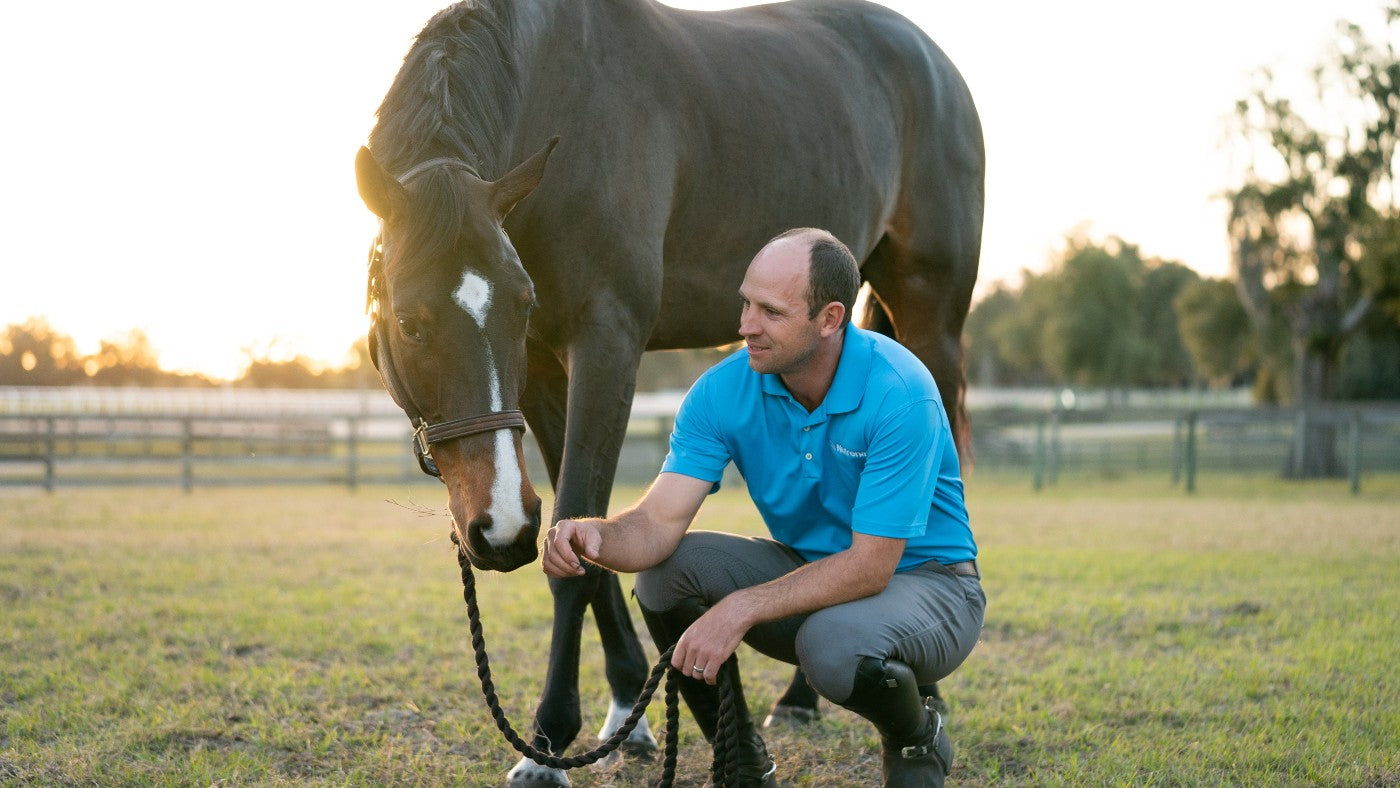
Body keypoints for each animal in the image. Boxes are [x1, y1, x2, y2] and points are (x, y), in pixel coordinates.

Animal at [355, 0, 983, 784]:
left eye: (518, 303)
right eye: (409, 321)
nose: (501, 530)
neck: (563, 96)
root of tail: (933, 62)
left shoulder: (608, 342)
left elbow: (574, 550)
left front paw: (548, 745)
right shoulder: (542, 371)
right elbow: (583, 540)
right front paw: (628, 709)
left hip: (933, 319)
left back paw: (926, 696)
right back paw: (799, 700)